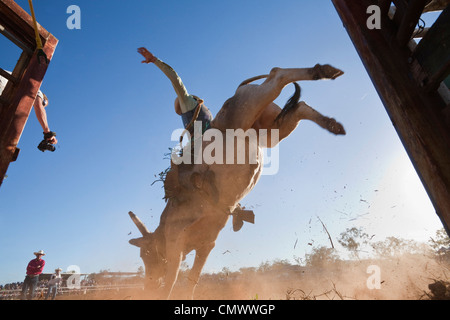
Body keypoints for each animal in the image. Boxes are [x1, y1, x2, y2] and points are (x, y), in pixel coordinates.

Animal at [128, 63, 346, 300]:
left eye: (145, 253)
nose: (148, 286)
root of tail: (236, 92)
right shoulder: (207, 244)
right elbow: (192, 279)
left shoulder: (176, 240)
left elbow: (172, 278)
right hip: (272, 128)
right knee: (299, 107)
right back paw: (331, 122)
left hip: (249, 105)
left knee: (278, 74)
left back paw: (323, 72)